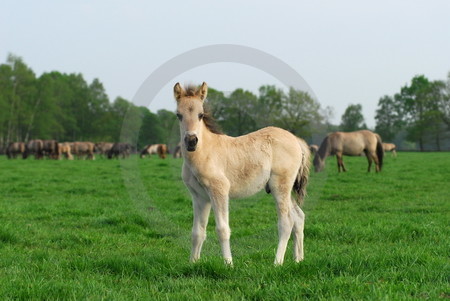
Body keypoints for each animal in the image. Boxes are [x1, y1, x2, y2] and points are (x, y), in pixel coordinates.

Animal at [174, 82, 312, 264]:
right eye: (178, 115)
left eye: (201, 115)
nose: (191, 141)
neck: (204, 152)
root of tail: (296, 140)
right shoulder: (200, 197)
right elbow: (197, 232)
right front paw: (193, 263)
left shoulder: (219, 191)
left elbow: (222, 229)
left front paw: (228, 263)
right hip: (285, 189)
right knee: (299, 217)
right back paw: (298, 259)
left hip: (280, 186)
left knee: (286, 222)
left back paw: (277, 262)